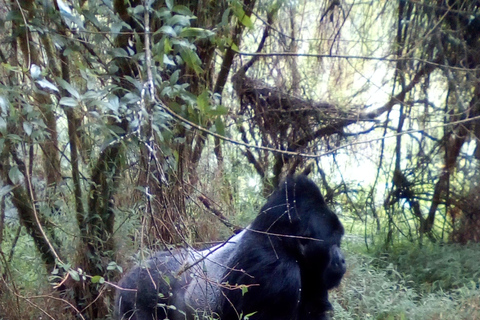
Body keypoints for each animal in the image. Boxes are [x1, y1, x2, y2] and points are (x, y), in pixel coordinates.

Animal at [113, 175, 344, 320]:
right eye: (333, 243)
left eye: (340, 242)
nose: (342, 260)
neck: (283, 241)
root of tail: (129, 275)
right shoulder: (277, 273)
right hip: (135, 295)